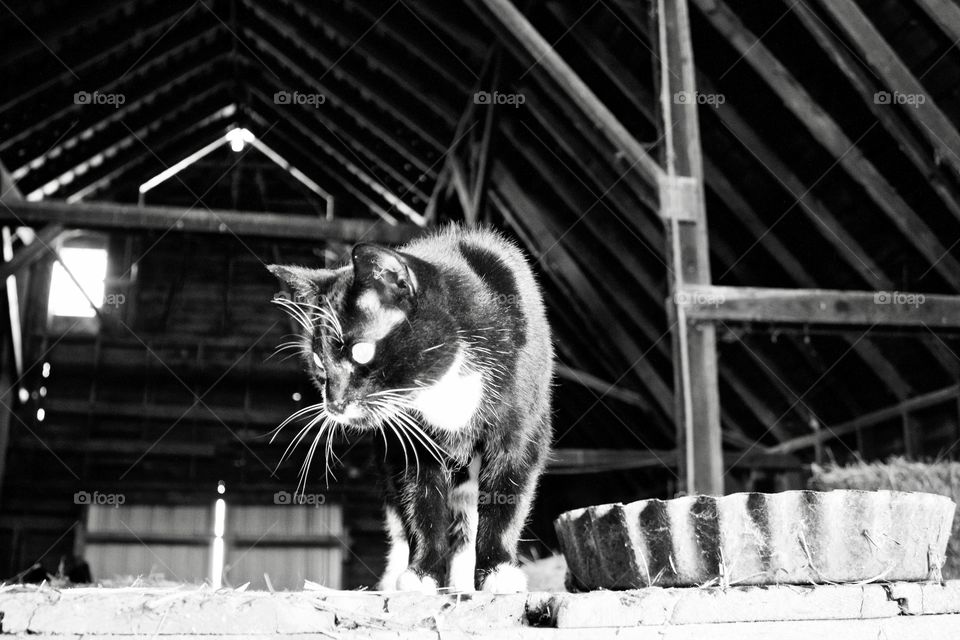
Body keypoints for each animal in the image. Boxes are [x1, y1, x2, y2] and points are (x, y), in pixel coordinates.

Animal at [270, 228, 556, 592]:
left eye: (361, 351)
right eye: (319, 362)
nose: (334, 404)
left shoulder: (520, 426)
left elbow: (507, 489)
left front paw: (498, 570)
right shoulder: (406, 436)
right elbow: (419, 499)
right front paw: (422, 573)